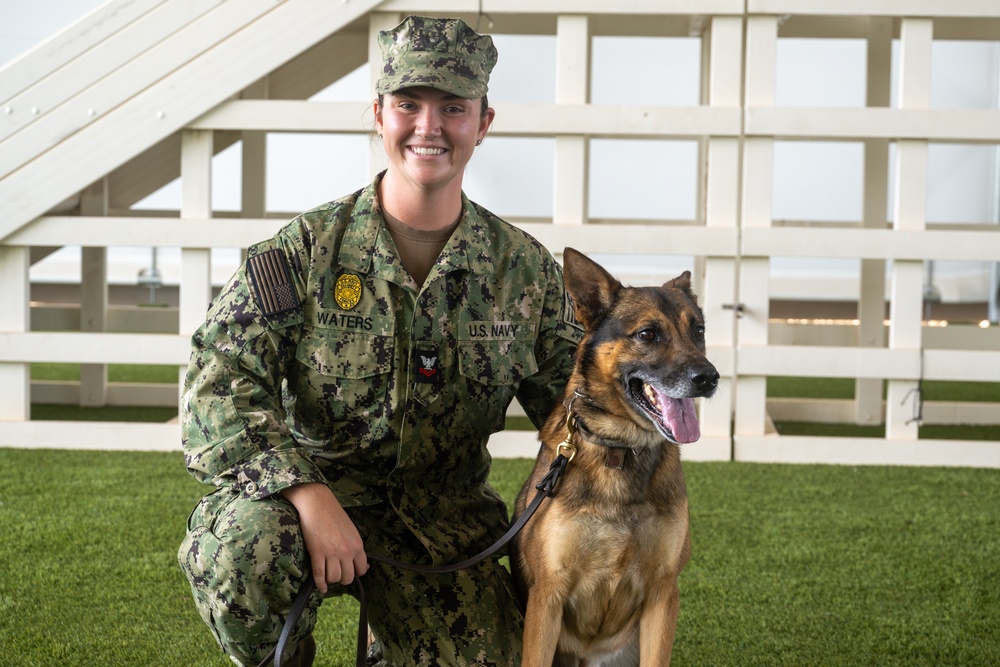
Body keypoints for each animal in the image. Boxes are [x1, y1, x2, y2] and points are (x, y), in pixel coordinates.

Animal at [512, 248, 716, 664]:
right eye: (647, 334)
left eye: (699, 332)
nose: (709, 378)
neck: (619, 450)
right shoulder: (547, 596)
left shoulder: (663, 594)